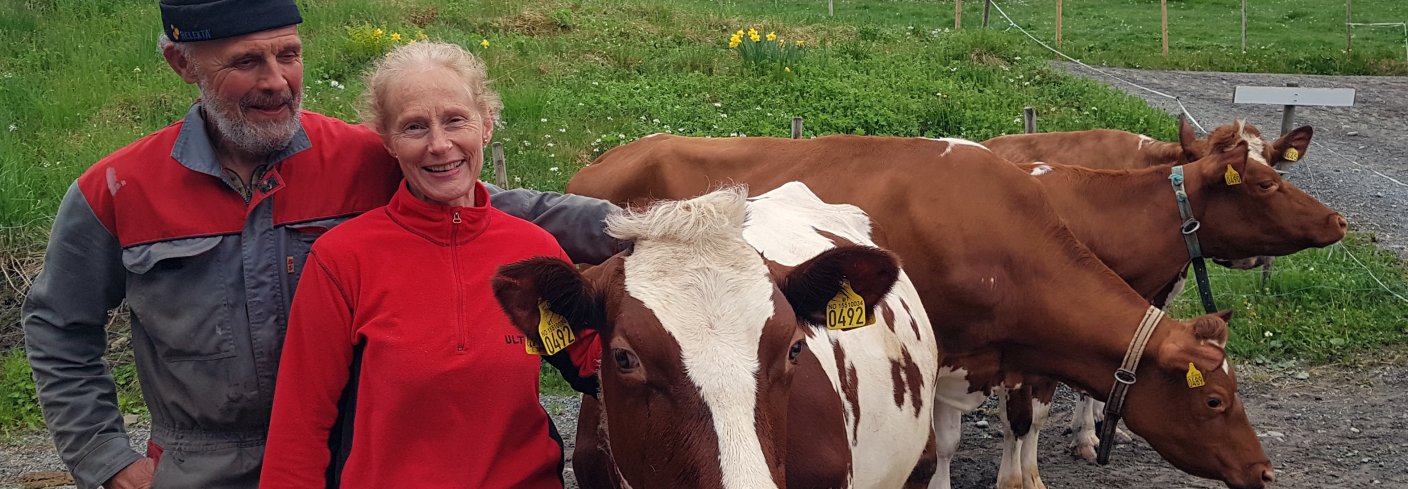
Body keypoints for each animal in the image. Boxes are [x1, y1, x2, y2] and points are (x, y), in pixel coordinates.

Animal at [571, 133, 1289, 489]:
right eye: (1215, 401)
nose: (1263, 470)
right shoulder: (949, 355)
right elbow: (945, 441)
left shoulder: (1015, 356)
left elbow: (1024, 418)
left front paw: (1026, 477)